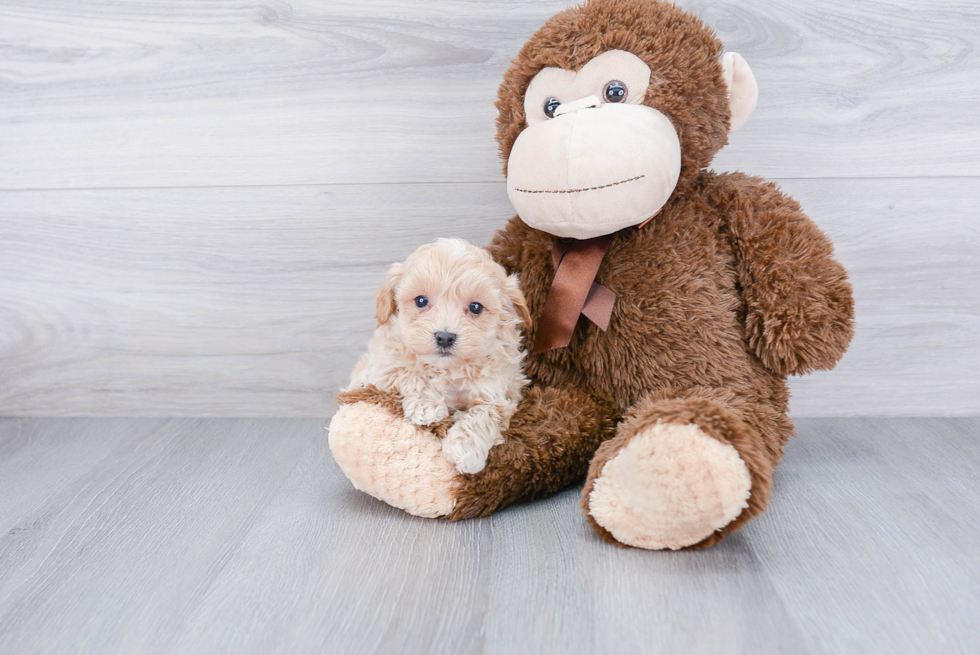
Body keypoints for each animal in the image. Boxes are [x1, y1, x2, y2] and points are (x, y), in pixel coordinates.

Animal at [344, 238, 528, 474]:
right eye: (421, 301)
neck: (445, 368)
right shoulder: (384, 365)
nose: (445, 337)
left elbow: (483, 413)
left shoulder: (499, 394)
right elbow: (410, 373)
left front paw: (464, 448)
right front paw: (428, 407)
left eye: (476, 307)